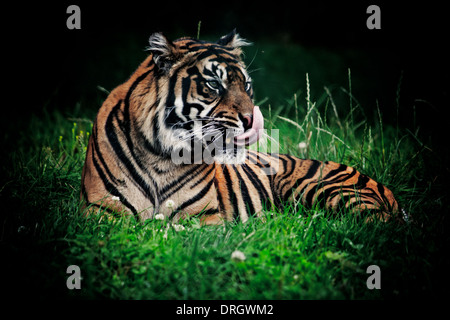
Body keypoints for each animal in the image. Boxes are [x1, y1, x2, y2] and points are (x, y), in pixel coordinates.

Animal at [81, 30, 400, 225]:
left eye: (245, 85)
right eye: (214, 84)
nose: (251, 120)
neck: (162, 157)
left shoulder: (205, 216)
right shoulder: (101, 209)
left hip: (323, 189)